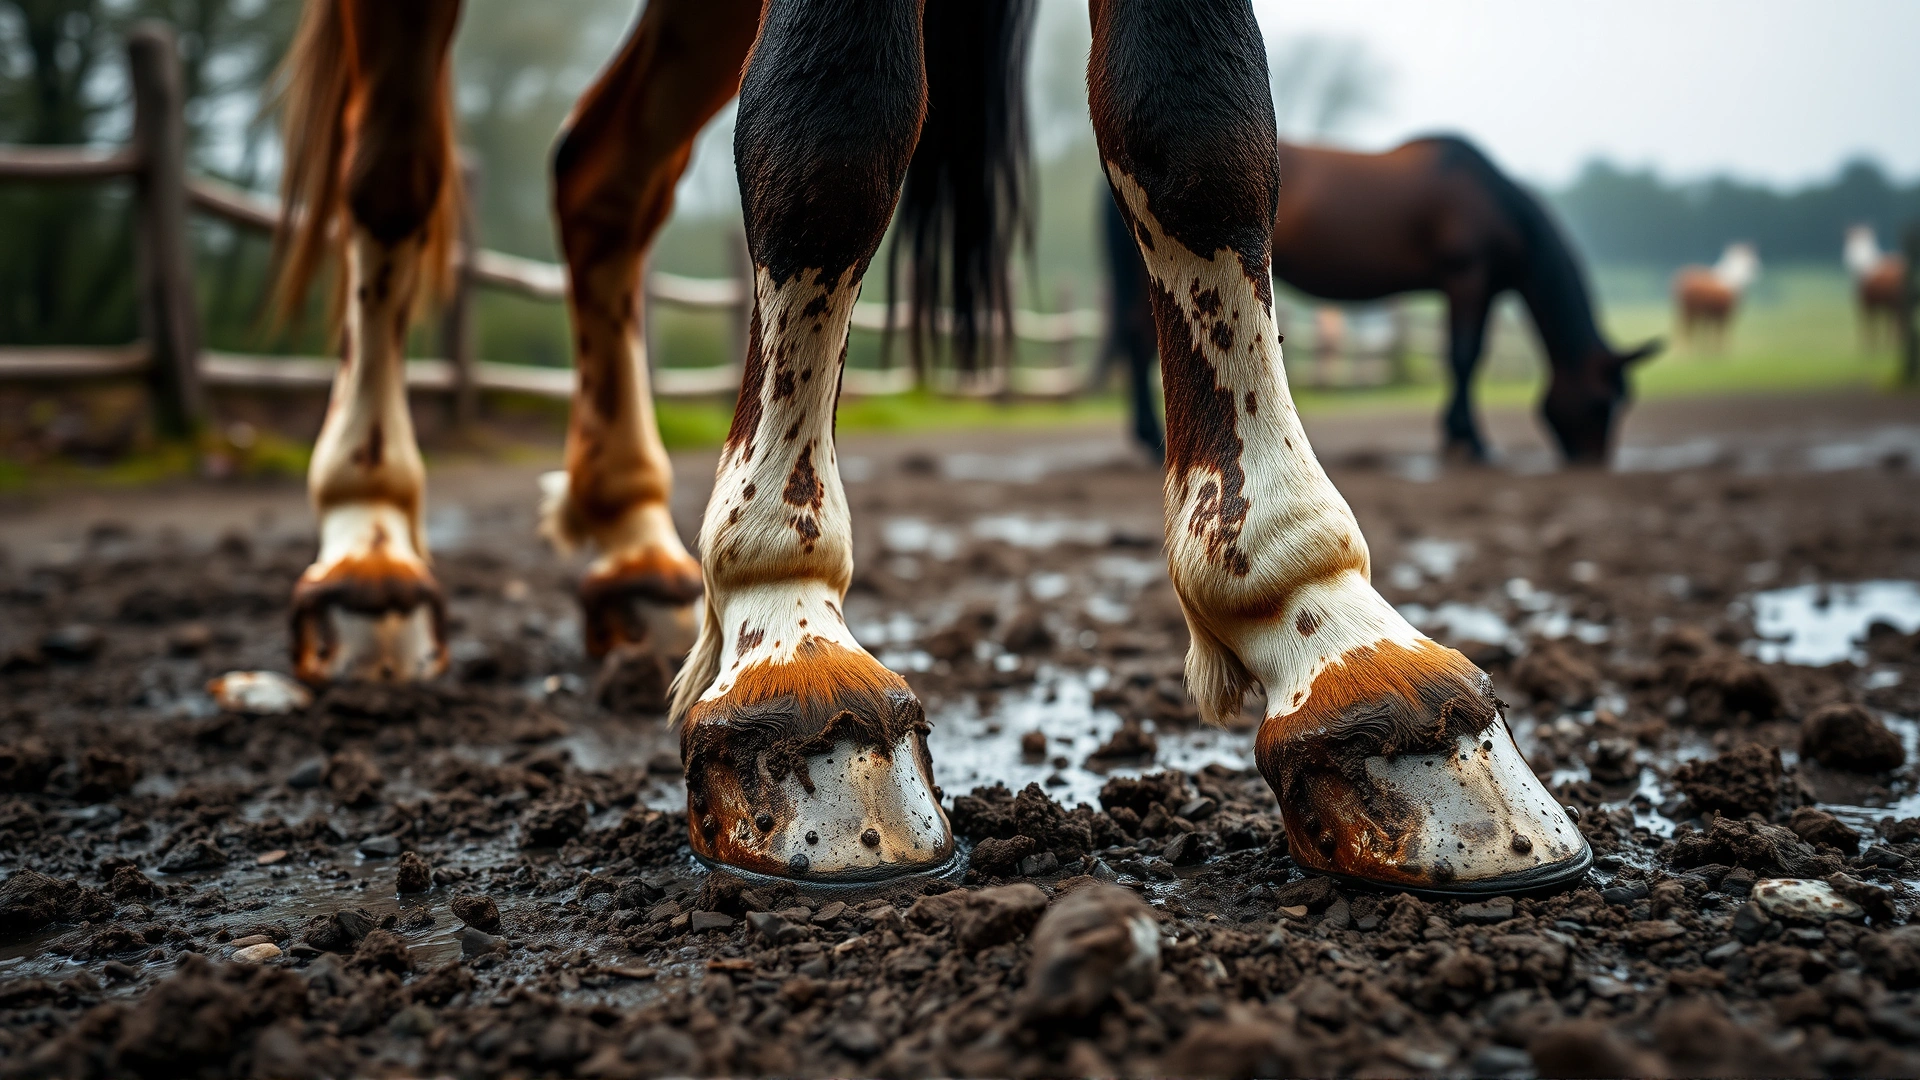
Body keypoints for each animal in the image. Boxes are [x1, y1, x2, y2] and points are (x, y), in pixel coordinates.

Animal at [270, 0, 1588, 899]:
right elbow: (829, 133)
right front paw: (782, 620)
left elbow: (1201, 129)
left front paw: (1336, 637)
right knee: (388, 176)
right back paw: (369, 547)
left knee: (604, 177)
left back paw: (633, 544)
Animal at [1102, 136, 1661, 466]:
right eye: (1601, 402)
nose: (1593, 462)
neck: (1495, 203)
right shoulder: (1467, 279)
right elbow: (1465, 356)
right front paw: (1469, 442)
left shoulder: (1472, 288)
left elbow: (1463, 357)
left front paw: (1460, 436)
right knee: (1139, 341)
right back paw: (1150, 439)